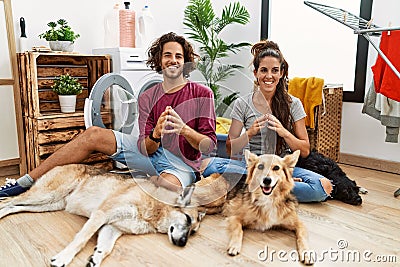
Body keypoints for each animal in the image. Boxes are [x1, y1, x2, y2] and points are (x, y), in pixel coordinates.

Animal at [0, 164, 206, 266]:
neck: (154, 209)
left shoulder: (111, 227)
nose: (183, 244)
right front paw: (63, 258)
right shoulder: (100, 215)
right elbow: (81, 239)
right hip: (45, 195)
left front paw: (96, 258)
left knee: (14, 206)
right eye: (187, 219)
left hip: (47, 204)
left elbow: (106, 248)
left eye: (193, 232)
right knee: (7, 201)